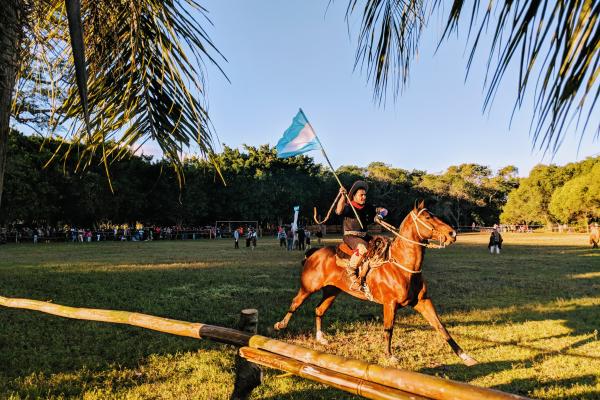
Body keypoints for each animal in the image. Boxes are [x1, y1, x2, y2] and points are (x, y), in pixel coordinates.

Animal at [276, 200, 478, 366]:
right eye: (428, 217)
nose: (452, 233)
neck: (402, 266)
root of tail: (314, 252)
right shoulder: (390, 304)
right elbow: (388, 329)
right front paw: (390, 356)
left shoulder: (422, 301)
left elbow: (440, 326)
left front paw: (465, 356)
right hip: (308, 287)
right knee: (296, 302)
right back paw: (281, 325)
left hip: (332, 291)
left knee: (319, 310)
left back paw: (321, 338)